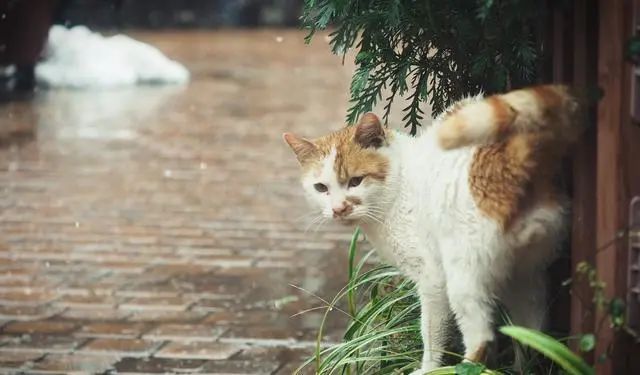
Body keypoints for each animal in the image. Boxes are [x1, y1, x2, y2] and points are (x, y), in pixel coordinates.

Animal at [282, 85, 584, 374]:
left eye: (356, 181)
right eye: (321, 188)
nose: (338, 209)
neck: (399, 183)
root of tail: (508, 156)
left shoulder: (432, 281)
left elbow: (431, 333)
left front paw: (428, 368)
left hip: (464, 277)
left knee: (481, 339)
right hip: (524, 276)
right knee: (534, 336)